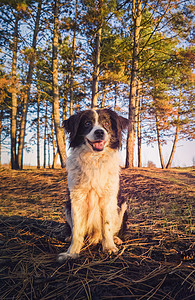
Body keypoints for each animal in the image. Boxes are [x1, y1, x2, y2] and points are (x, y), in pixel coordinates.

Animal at [57, 108, 128, 260]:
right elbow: (77, 229)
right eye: (87, 123)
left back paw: (116, 239)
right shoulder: (77, 199)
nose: (100, 132)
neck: (94, 159)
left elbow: (107, 225)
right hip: (67, 206)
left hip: (122, 206)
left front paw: (109, 247)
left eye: (106, 123)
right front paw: (72, 252)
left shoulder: (108, 198)